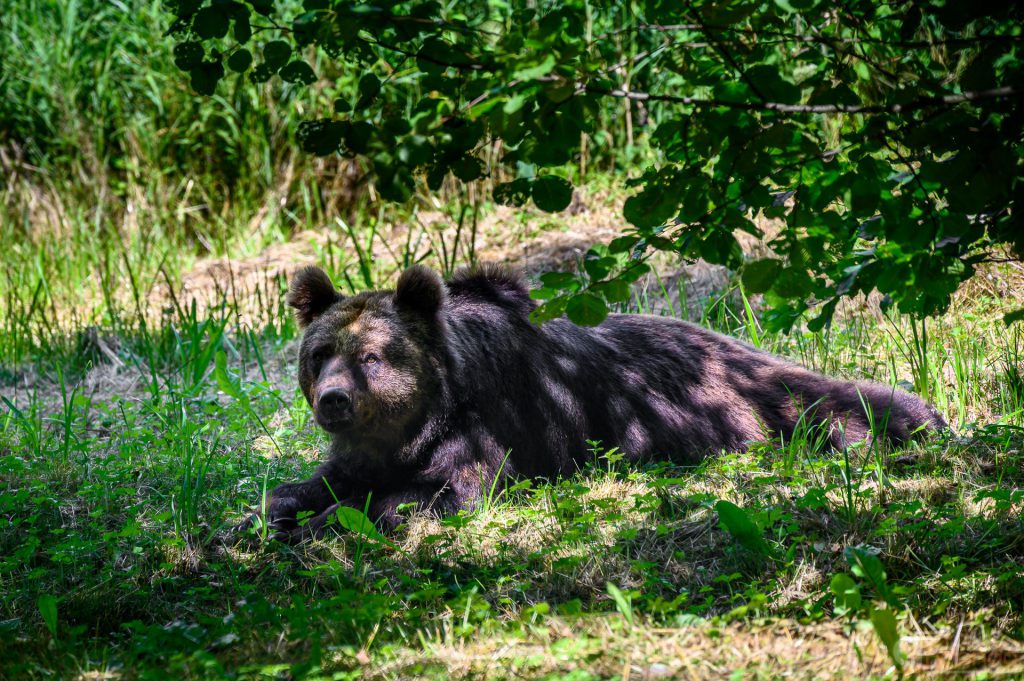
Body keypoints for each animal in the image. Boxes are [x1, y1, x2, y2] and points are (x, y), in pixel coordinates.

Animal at [243, 262, 946, 540]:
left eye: (372, 356)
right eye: (319, 354)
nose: (333, 400)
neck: (419, 421)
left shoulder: (491, 433)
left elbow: (434, 495)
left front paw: (330, 522)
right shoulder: (364, 450)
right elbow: (312, 485)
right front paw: (272, 513)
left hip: (759, 400)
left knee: (845, 407)